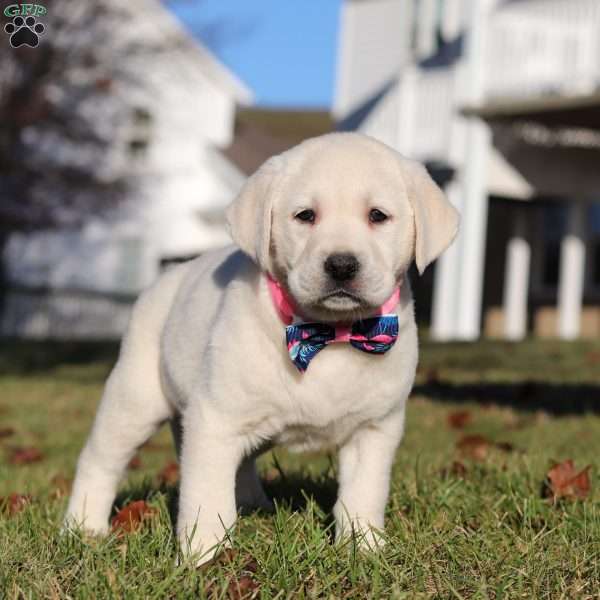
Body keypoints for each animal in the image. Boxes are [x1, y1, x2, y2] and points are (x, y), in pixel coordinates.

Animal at [64, 131, 460, 564]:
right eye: (305, 216)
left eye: (378, 216)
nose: (341, 265)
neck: (328, 332)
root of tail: (166, 278)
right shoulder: (215, 419)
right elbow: (206, 495)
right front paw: (204, 556)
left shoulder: (374, 428)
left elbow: (363, 493)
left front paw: (364, 548)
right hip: (135, 398)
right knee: (100, 460)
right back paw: (83, 526)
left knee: (241, 463)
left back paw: (253, 502)